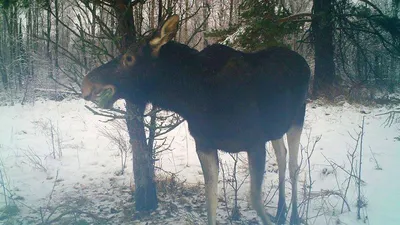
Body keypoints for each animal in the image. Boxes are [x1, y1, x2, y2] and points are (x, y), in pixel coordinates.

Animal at [81, 14, 310, 224]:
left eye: (129, 58)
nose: (86, 84)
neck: (196, 97)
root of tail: (303, 61)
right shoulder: (205, 145)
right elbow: (211, 201)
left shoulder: (254, 143)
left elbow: (255, 200)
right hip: (276, 127)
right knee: (282, 156)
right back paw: (281, 212)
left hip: (297, 118)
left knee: (293, 165)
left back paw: (294, 216)